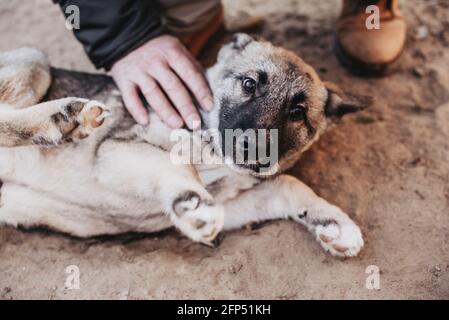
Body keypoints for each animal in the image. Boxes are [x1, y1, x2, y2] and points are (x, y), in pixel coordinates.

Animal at [0, 33, 372, 258]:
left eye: (297, 112)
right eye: (248, 84)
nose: (252, 148)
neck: (215, 158)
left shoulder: (232, 203)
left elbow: (288, 185)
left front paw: (332, 222)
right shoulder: (113, 150)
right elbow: (173, 161)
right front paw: (192, 201)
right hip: (32, 59)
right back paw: (63, 117)